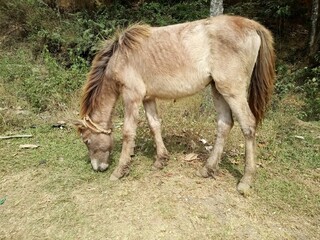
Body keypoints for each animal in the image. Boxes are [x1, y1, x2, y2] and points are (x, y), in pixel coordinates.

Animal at [75, 15, 276, 195]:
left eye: (86, 141)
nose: (98, 167)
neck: (122, 57)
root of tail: (251, 24)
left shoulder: (132, 97)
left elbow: (128, 133)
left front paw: (120, 170)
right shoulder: (148, 98)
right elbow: (154, 126)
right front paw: (161, 160)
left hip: (232, 91)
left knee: (248, 126)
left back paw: (246, 180)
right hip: (218, 90)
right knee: (225, 124)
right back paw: (207, 169)